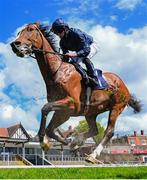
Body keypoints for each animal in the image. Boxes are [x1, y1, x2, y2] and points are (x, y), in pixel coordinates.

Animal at [10, 22, 141, 163]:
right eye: (19, 32)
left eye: (30, 29)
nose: (14, 44)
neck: (57, 71)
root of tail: (123, 85)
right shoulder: (63, 111)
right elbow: (50, 129)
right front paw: (66, 142)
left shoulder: (71, 103)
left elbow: (45, 108)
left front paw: (44, 141)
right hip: (91, 112)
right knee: (94, 130)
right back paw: (77, 141)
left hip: (116, 107)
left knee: (109, 132)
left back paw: (92, 155)